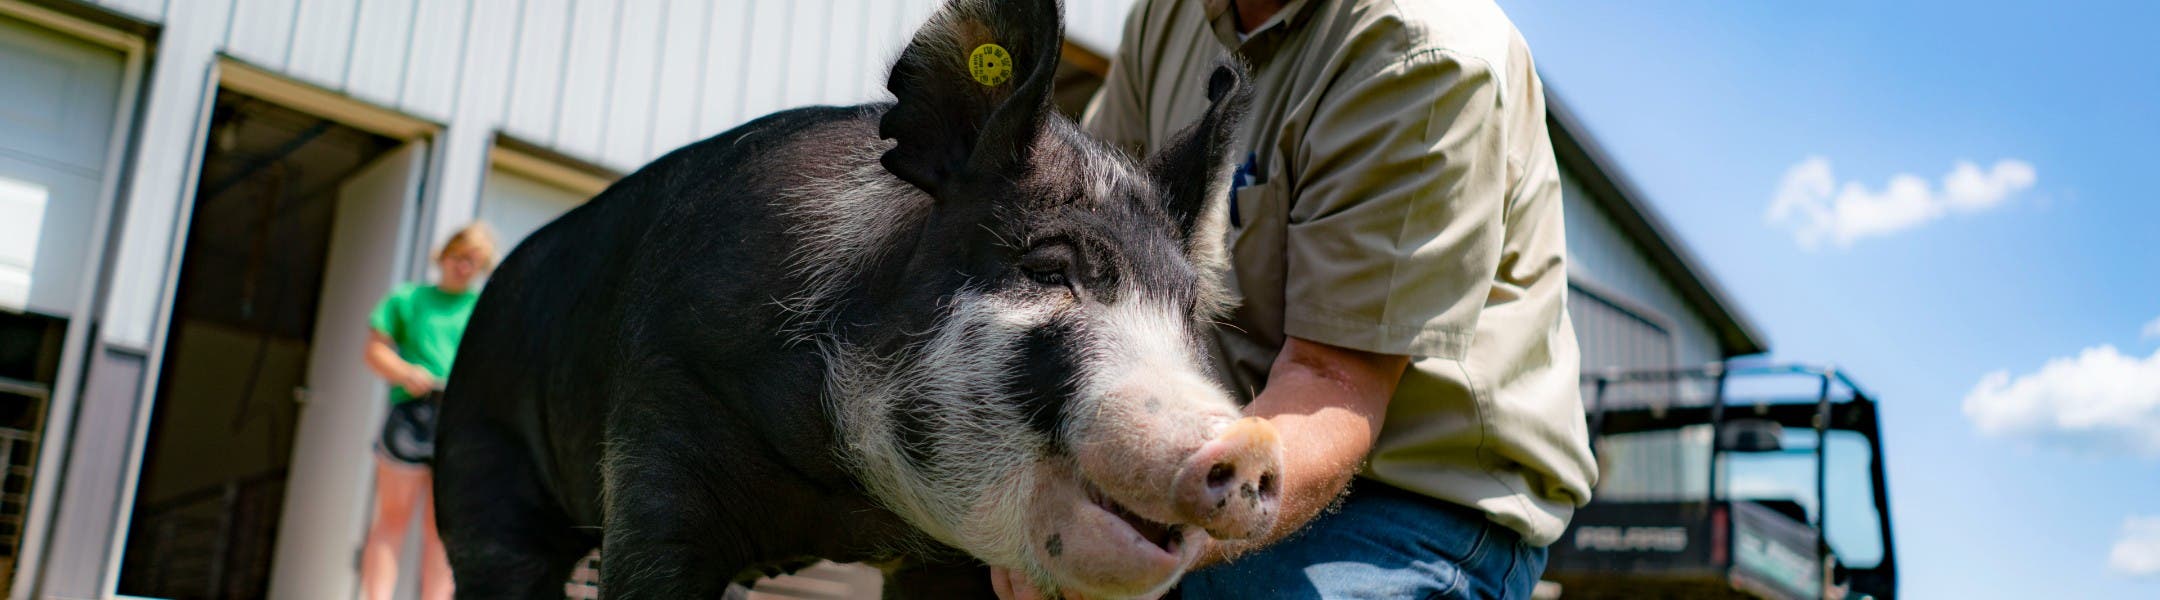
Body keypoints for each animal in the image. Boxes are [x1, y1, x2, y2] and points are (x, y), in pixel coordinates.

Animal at [436, 0, 1278, 595]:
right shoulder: (658, 425)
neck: (845, 497)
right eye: (1047, 267)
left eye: (1188, 311)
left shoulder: (945, 561)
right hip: (479, 469)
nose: (1251, 441)